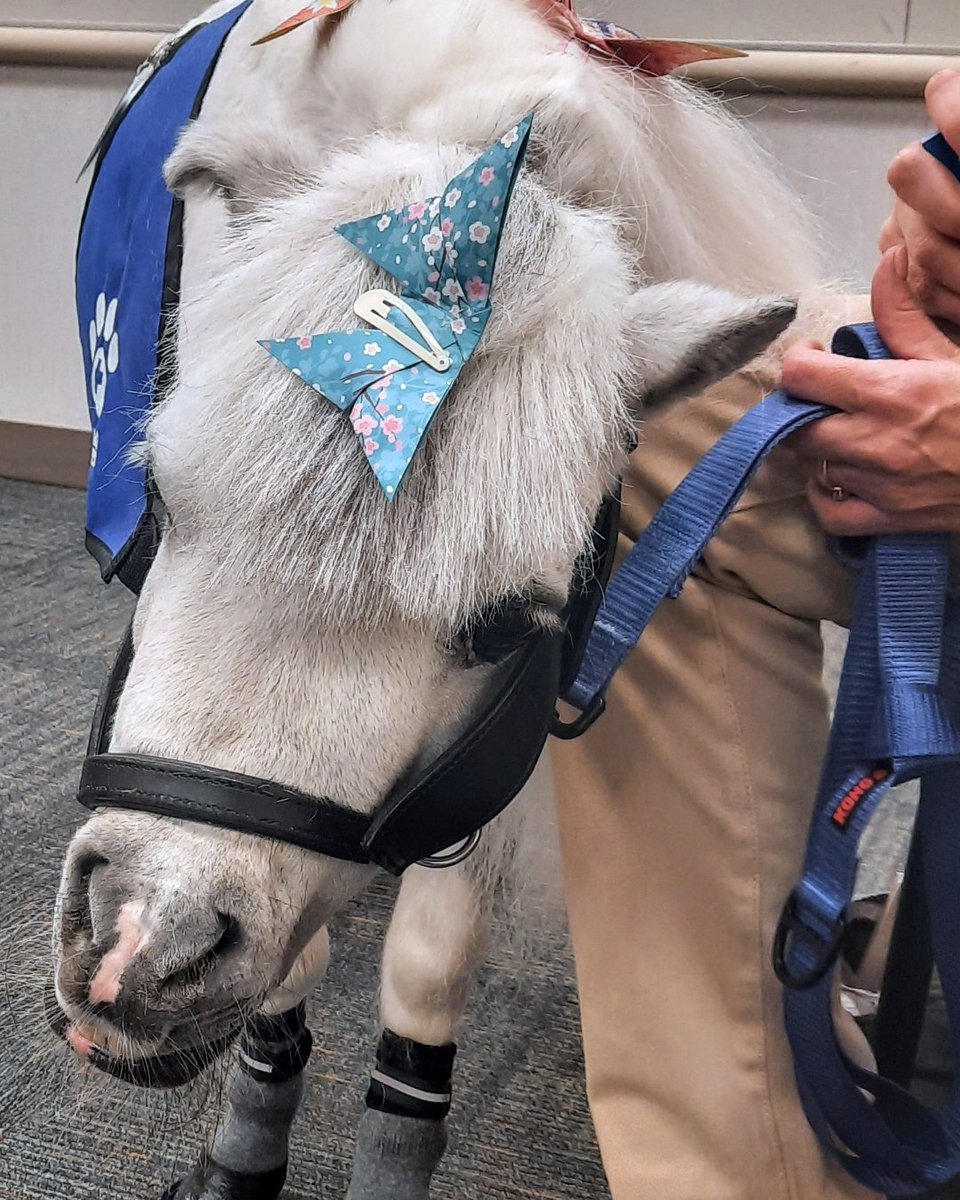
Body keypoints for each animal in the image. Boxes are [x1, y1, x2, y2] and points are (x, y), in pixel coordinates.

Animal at [50, 4, 830, 1195]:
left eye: (505, 624)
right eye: (168, 502)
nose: (140, 947)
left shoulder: (502, 736)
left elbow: (428, 964)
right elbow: (296, 968)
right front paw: (243, 1148)